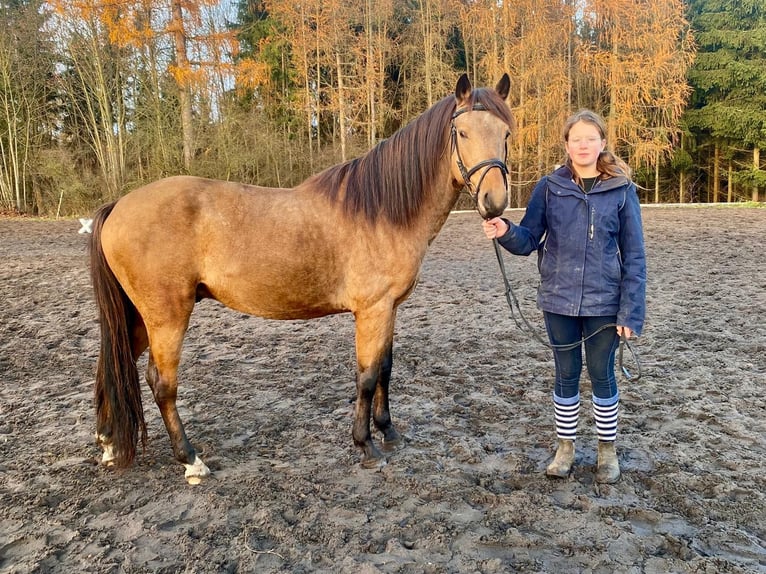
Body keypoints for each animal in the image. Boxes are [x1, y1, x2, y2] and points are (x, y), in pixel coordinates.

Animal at [89, 73, 515, 484]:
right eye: (462, 133)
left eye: (506, 133)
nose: (494, 203)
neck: (381, 211)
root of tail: (118, 206)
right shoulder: (372, 311)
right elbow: (367, 376)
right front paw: (366, 446)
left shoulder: (390, 309)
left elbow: (386, 369)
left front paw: (389, 432)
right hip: (167, 317)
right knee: (162, 383)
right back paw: (190, 460)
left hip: (139, 318)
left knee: (112, 367)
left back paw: (109, 444)